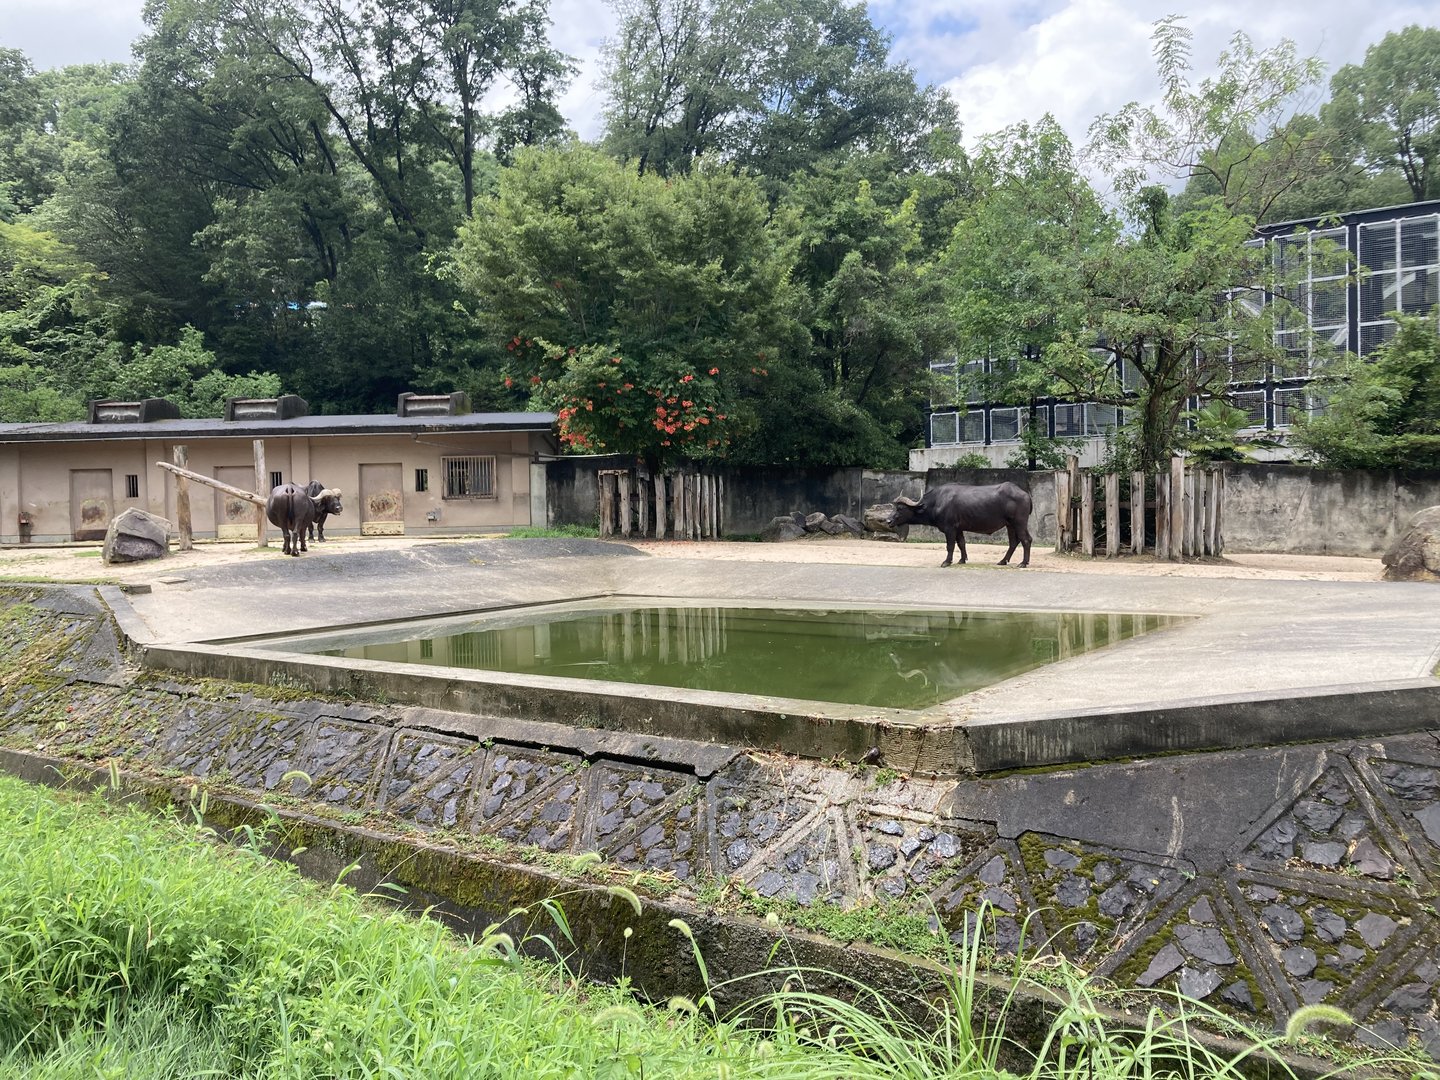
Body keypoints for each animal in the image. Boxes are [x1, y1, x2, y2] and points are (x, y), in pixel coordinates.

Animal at [891, 482, 1033, 568]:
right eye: (894, 507)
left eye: (900, 508)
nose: (888, 520)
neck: (937, 502)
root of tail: (1026, 495)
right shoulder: (958, 529)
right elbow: (961, 544)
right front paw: (962, 560)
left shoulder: (950, 529)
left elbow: (950, 546)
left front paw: (946, 562)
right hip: (1010, 525)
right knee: (1014, 542)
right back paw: (1003, 561)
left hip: (1019, 523)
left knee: (1025, 540)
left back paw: (1023, 563)